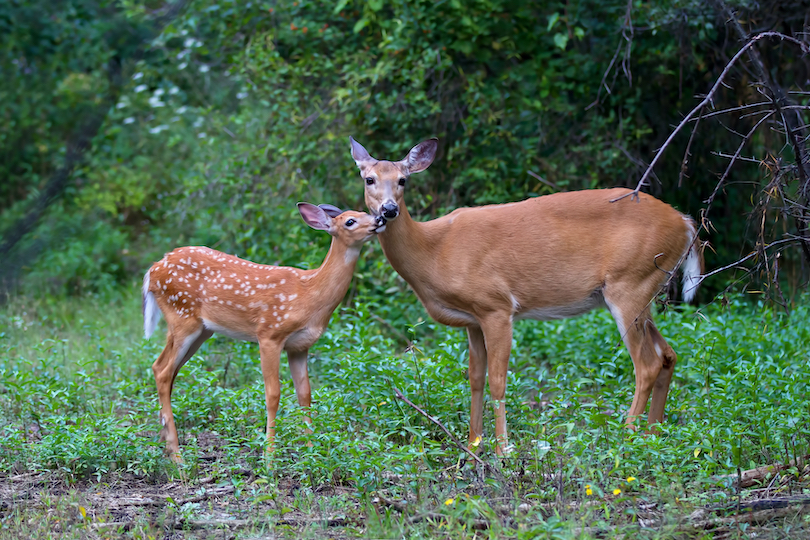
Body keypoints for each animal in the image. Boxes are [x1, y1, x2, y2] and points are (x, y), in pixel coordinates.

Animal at [143, 204, 382, 460]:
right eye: (350, 221)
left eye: (364, 212)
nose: (380, 218)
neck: (310, 294)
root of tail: (153, 270)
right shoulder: (269, 333)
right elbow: (273, 394)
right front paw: (269, 457)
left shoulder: (300, 346)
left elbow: (305, 395)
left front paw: (311, 451)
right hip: (183, 316)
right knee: (164, 371)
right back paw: (177, 456)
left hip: (200, 329)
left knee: (161, 368)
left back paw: (165, 443)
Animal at [348, 138, 700, 456]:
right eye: (369, 179)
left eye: (403, 179)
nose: (389, 210)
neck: (433, 251)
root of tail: (686, 223)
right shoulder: (472, 320)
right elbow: (475, 378)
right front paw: (472, 446)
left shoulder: (496, 306)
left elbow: (498, 380)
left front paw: (503, 449)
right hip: (645, 289)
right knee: (668, 354)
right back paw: (652, 435)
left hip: (629, 283)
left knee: (647, 363)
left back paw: (626, 439)